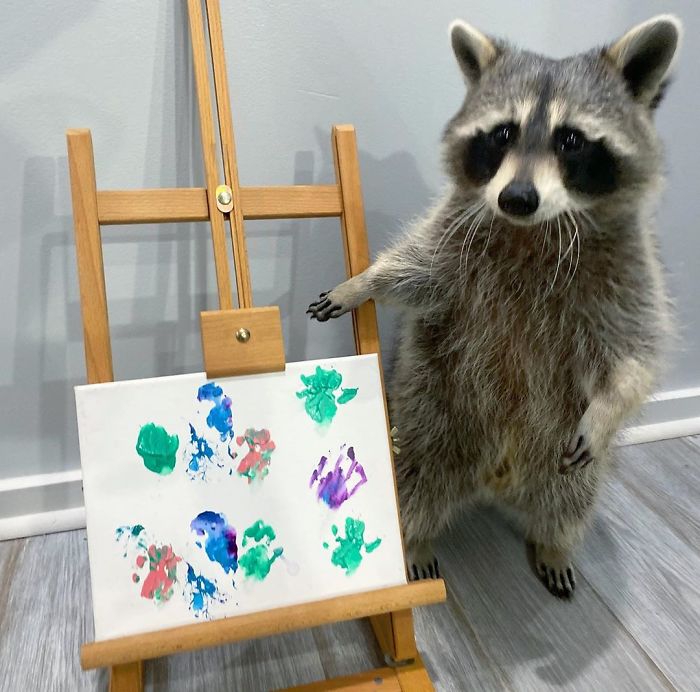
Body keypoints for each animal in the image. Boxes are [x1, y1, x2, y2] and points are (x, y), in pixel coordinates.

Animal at [307, 15, 681, 597]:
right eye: (503, 133)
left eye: (571, 140)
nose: (517, 198)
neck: (534, 228)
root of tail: (494, 477)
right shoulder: (454, 236)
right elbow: (417, 271)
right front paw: (364, 281)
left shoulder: (629, 269)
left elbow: (634, 354)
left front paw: (608, 404)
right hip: (431, 406)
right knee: (415, 472)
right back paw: (414, 539)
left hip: (556, 447)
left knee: (572, 495)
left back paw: (553, 541)